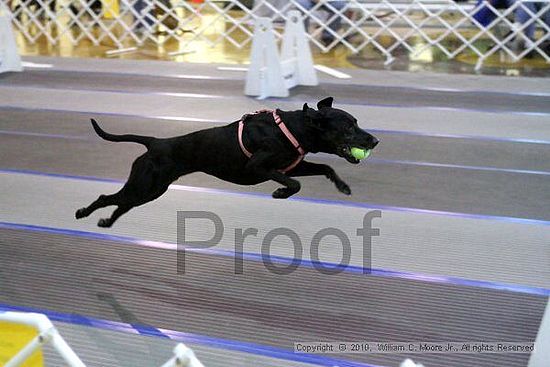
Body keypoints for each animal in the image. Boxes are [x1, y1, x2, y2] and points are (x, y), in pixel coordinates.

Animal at [76, 99, 380, 229]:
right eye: (348, 128)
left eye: (356, 122)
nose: (375, 140)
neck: (293, 128)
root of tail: (156, 142)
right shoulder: (258, 168)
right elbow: (294, 184)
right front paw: (280, 192)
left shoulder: (293, 164)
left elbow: (325, 168)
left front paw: (342, 186)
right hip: (144, 185)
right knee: (107, 197)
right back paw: (83, 212)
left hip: (150, 190)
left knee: (121, 204)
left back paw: (106, 222)